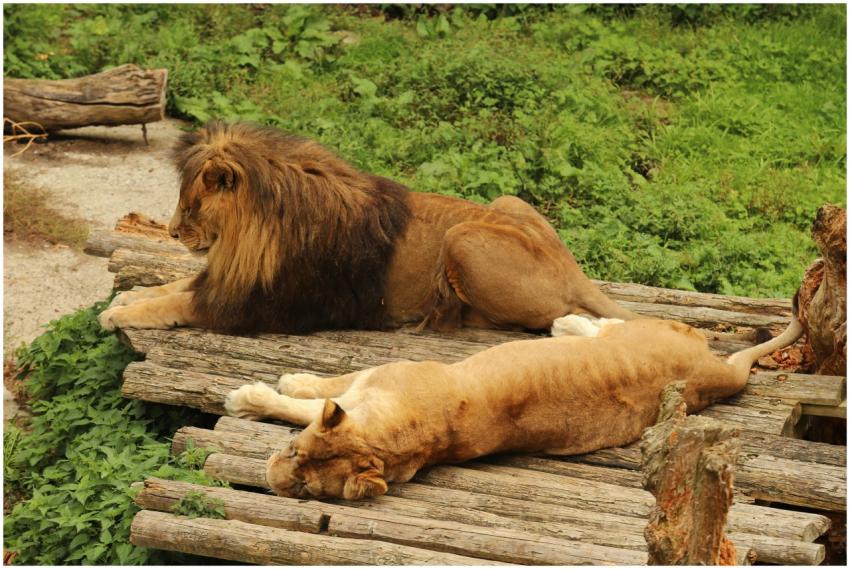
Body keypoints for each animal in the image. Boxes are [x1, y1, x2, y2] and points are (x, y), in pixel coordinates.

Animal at [99, 121, 641, 334]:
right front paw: (132, 296)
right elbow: (174, 284)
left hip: (462, 238)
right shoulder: (231, 277)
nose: (172, 233)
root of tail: (571, 268)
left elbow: (177, 302)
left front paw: (121, 313)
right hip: (508, 201)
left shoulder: (259, 304)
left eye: (192, 205)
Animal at [223, 313, 803, 499]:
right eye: (294, 458)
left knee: (612, 321)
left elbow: (307, 397)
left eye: (303, 483)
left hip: (645, 330)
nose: (272, 478)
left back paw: (566, 323)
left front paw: (255, 395)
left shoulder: (375, 377)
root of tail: (711, 369)